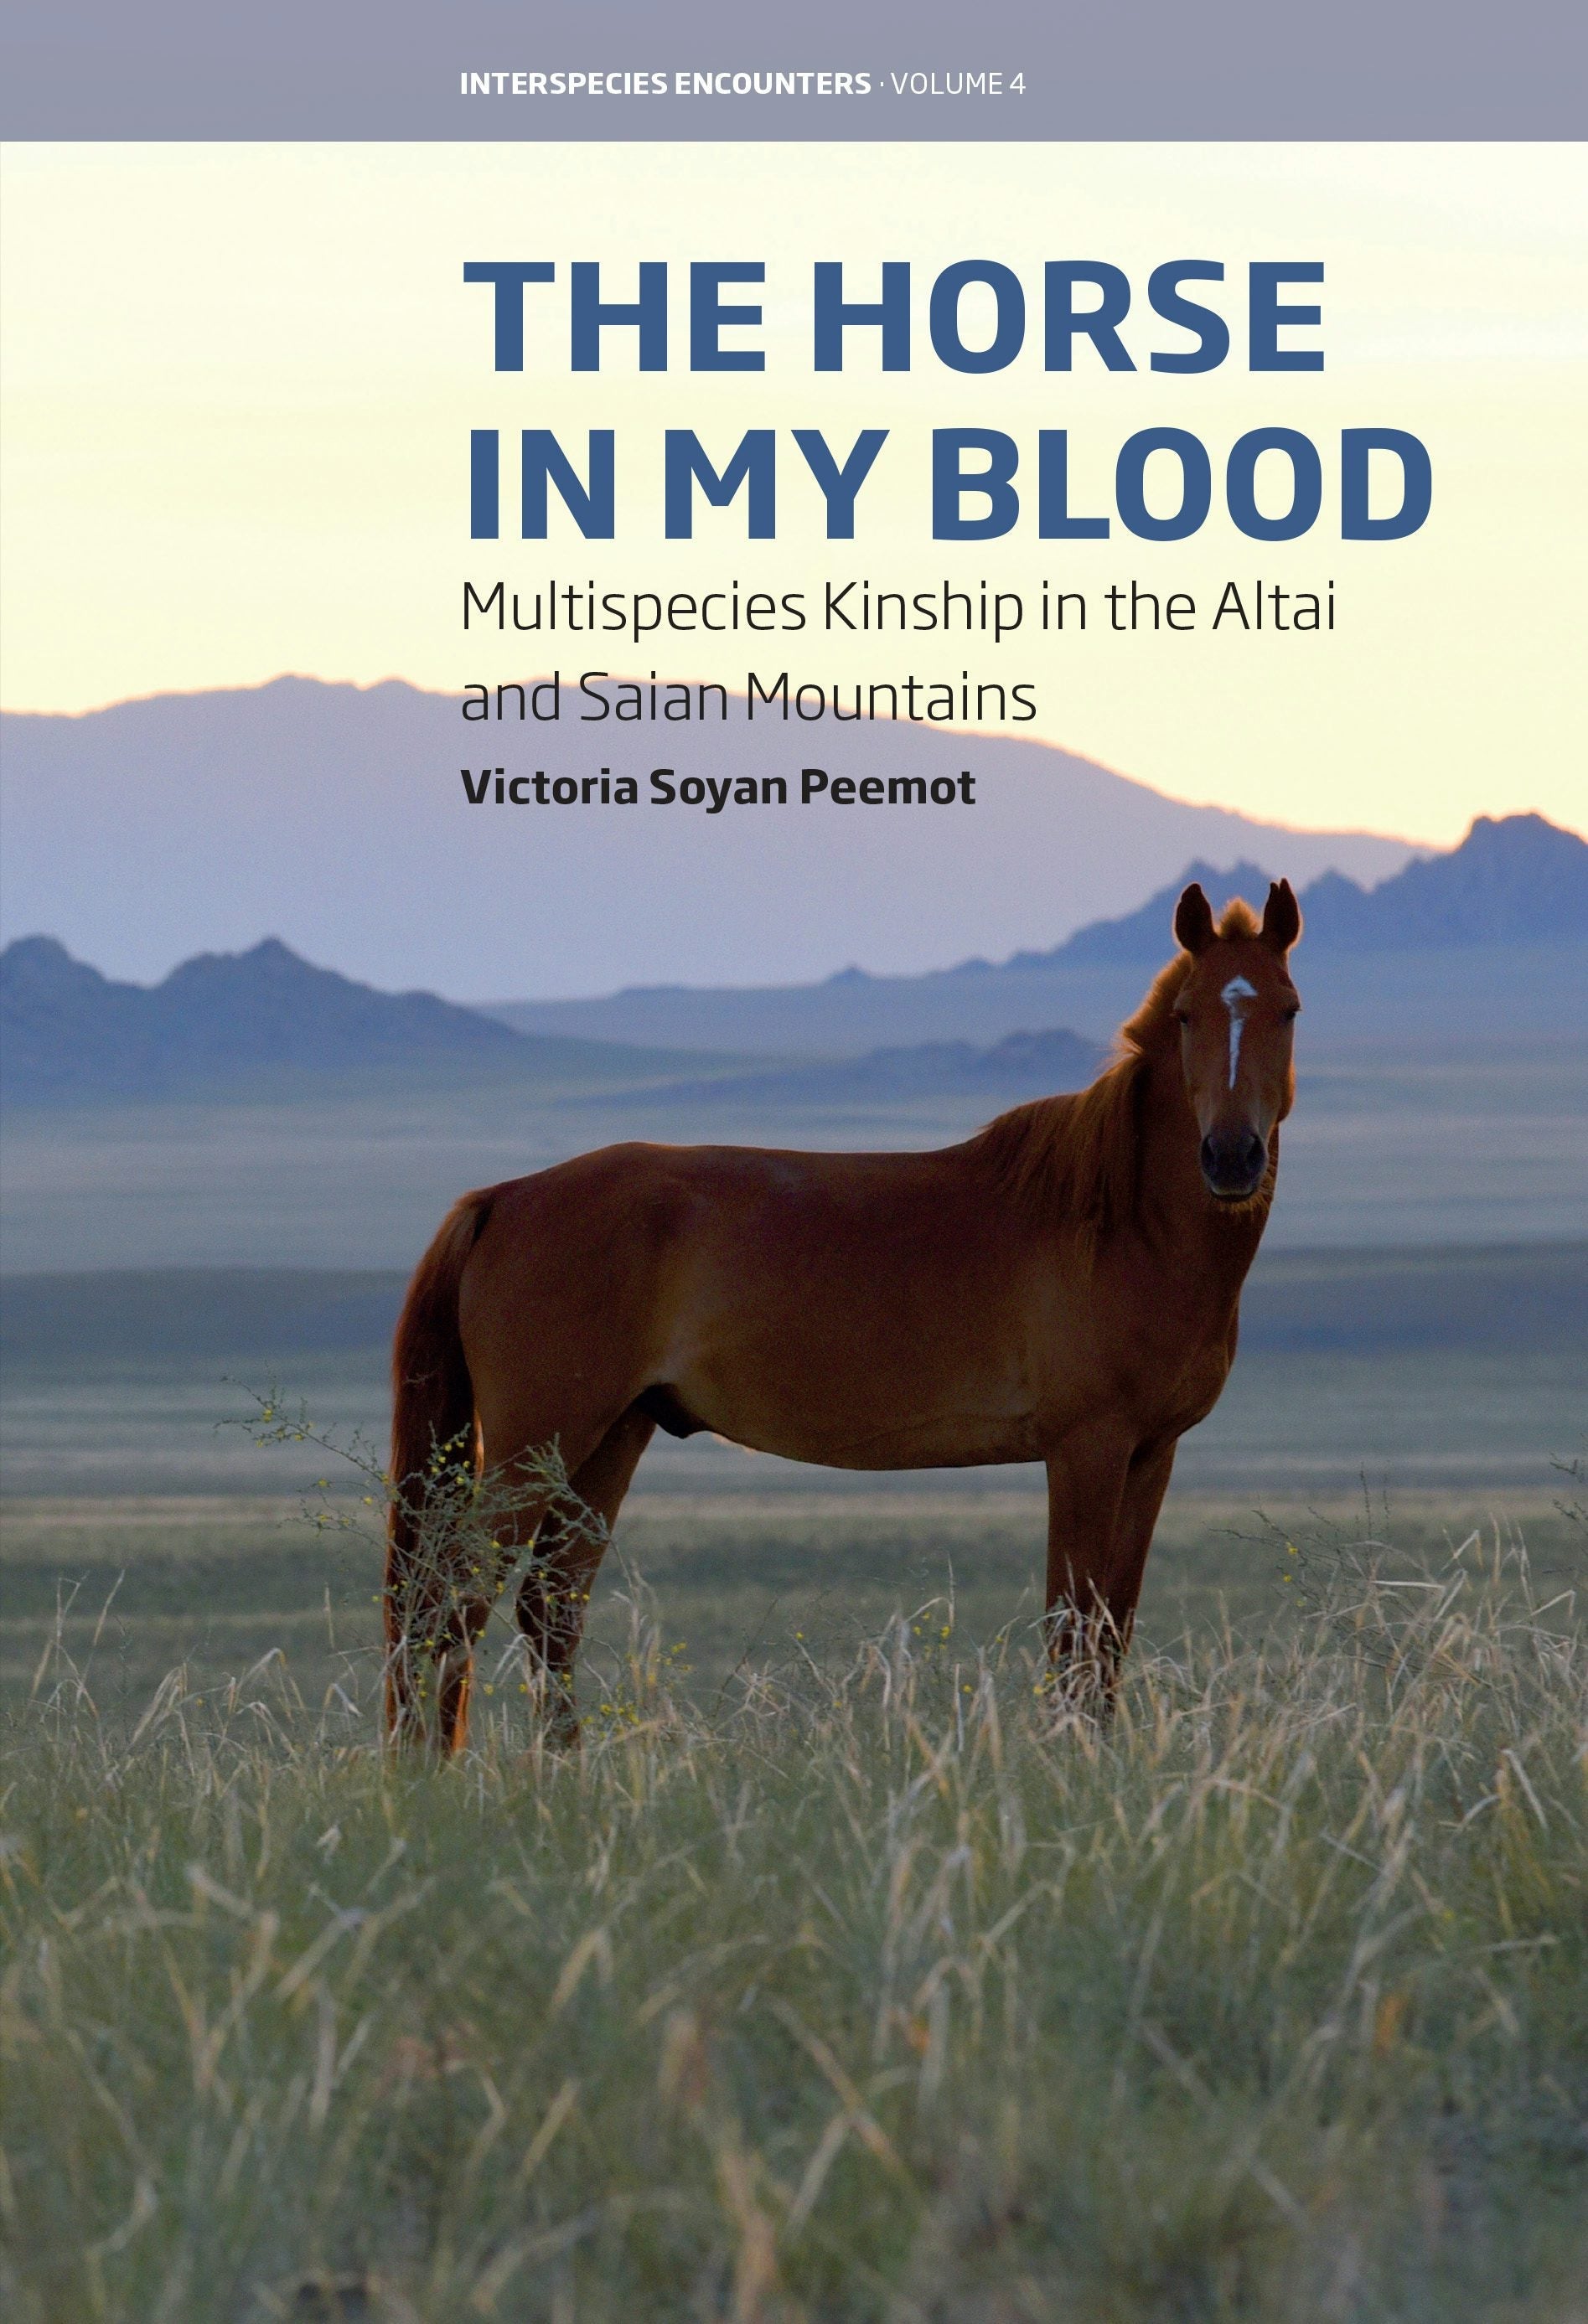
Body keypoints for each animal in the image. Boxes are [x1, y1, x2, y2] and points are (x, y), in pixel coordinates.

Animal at [384, 877, 1301, 1750]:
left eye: (1287, 1010)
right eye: (1185, 1016)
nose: (1229, 1157)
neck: (1119, 1224)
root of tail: (503, 1199)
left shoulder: (1150, 1452)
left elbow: (1110, 1632)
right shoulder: (1086, 1448)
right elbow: (1072, 1630)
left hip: (609, 1436)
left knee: (547, 1609)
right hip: (535, 1443)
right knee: (451, 1599)